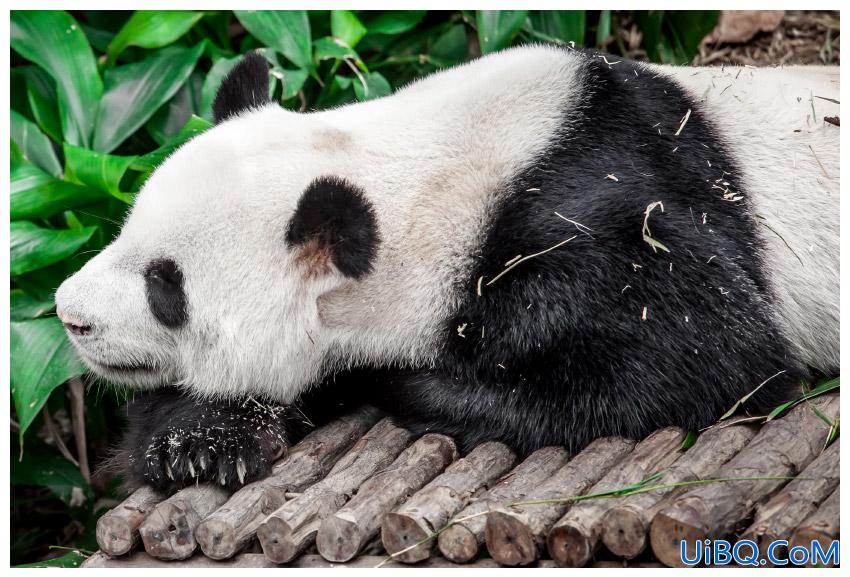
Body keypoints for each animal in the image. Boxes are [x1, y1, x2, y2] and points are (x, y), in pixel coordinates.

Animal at [53, 46, 836, 490]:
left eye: (166, 283)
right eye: (125, 231)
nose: (69, 314)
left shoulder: (604, 219)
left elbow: (710, 362)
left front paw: (396, 381)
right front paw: (200, 440)